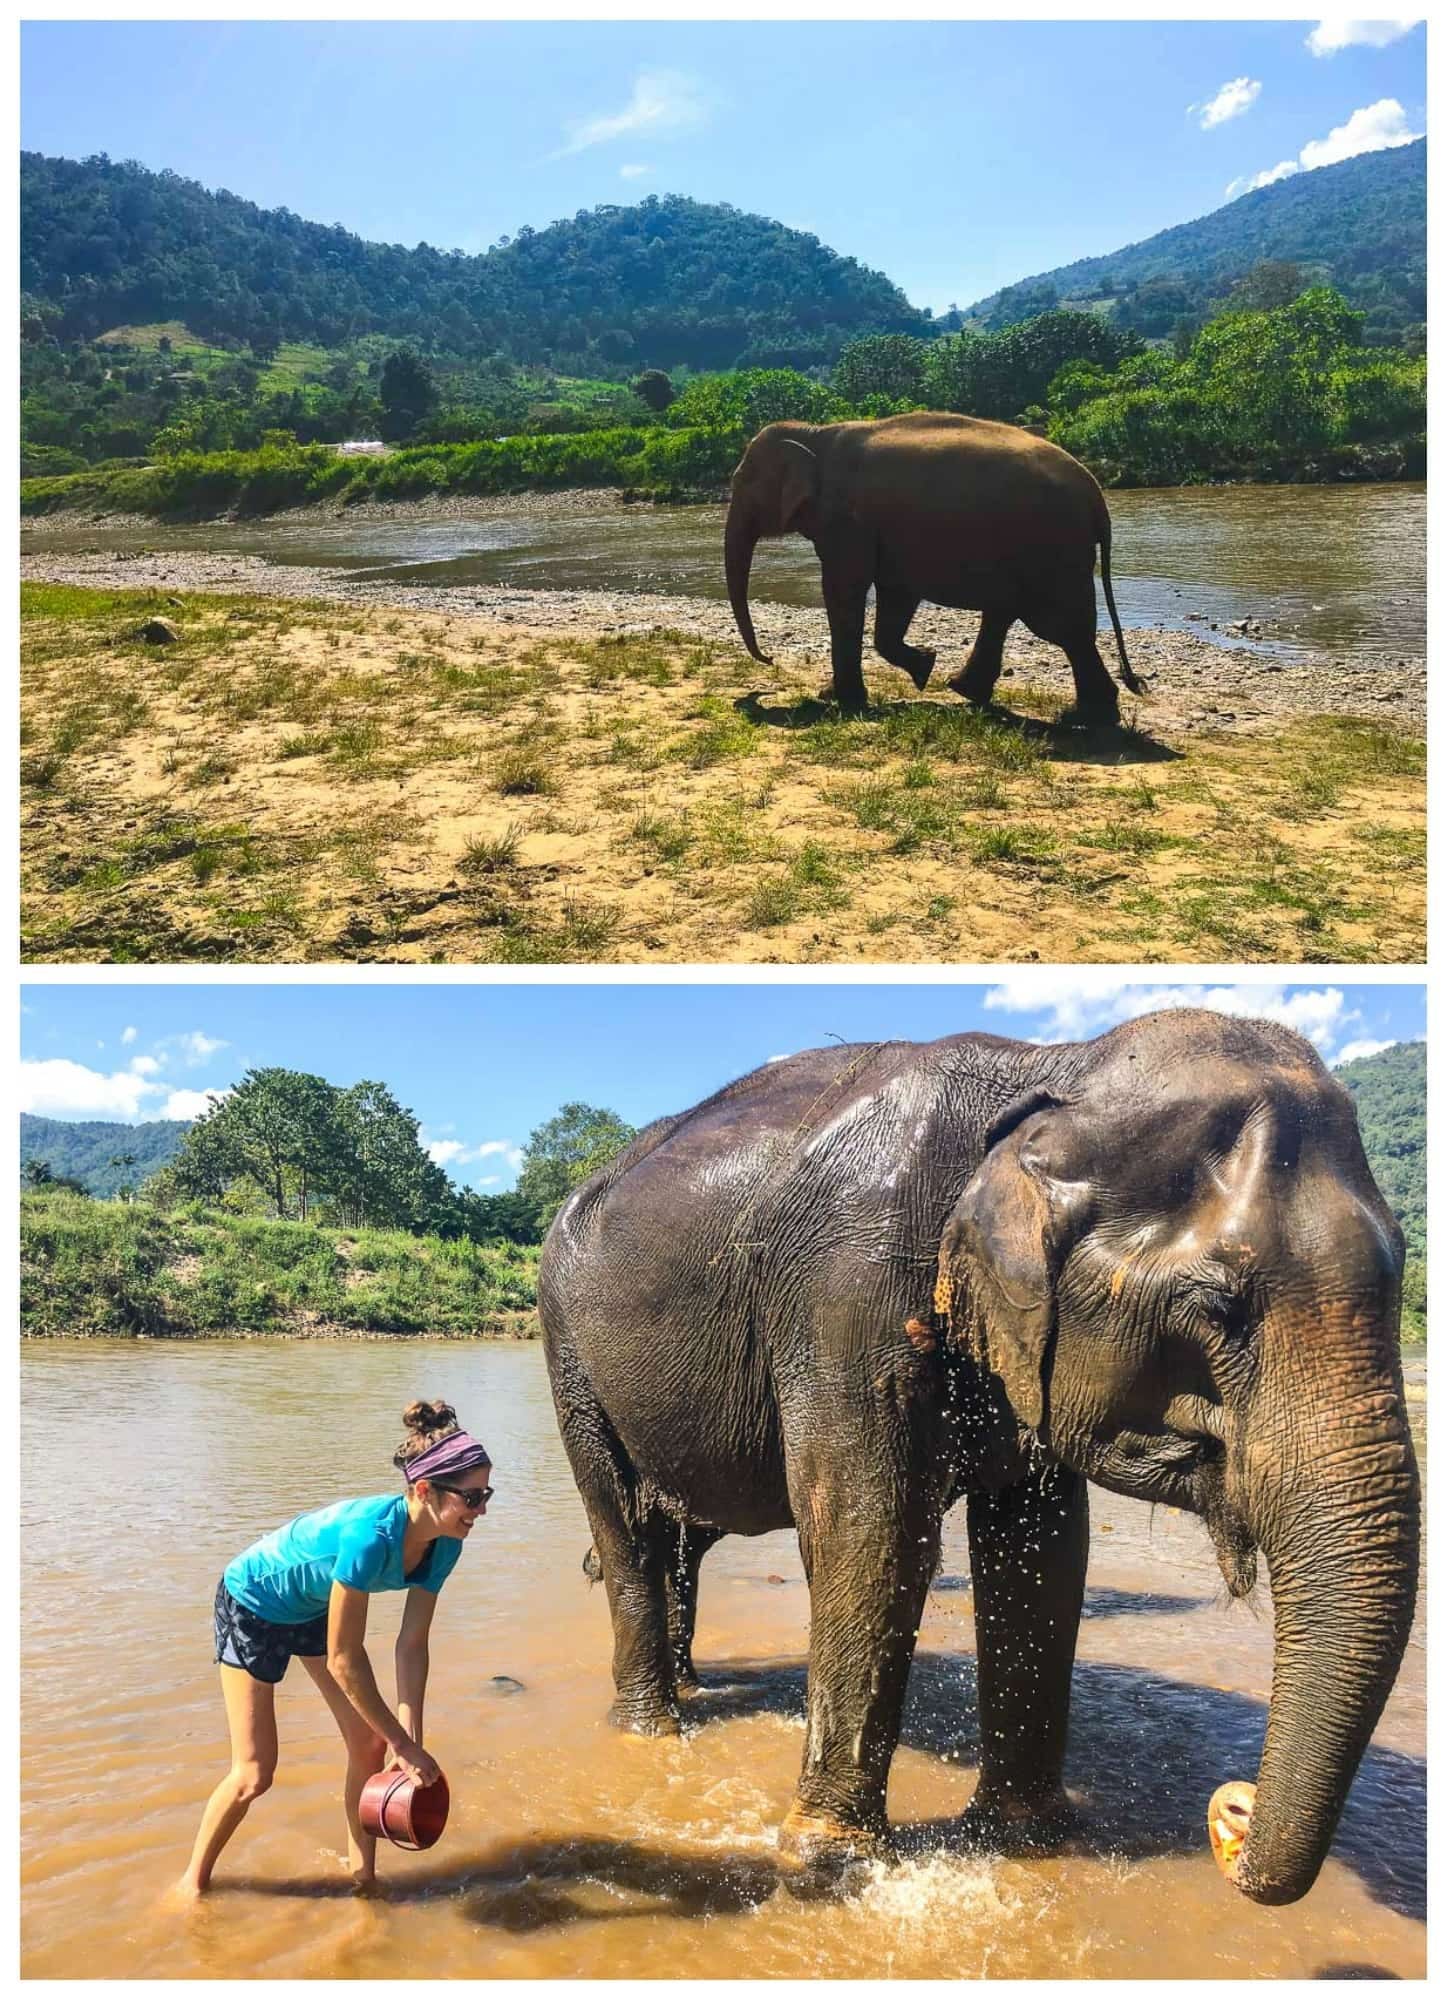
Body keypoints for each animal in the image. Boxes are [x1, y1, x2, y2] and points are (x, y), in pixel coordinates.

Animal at [538, 1010, 1418, 1906]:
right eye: (1217, 1306)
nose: (1230, 1810)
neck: (1056, 1072)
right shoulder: (843, 1290)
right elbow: (870, 1533)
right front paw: (826, 1868)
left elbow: (1040, 1554)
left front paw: (1021, 1838)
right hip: (566, 1343)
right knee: (624, 1527)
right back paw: (649, 1729)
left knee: (676, 1534)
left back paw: (687, 1689)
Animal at [724, 410, 1147, 719]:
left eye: (739, 483)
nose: (770, 660)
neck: (815, 432)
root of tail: (1096, 494)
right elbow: (895, 596)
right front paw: (925, 666)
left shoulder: (847, 522)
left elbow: (845, 591)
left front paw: (838, 698)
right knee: (1011, 614)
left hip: (1053, 549)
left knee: (1060, 627)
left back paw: (1084, 716)